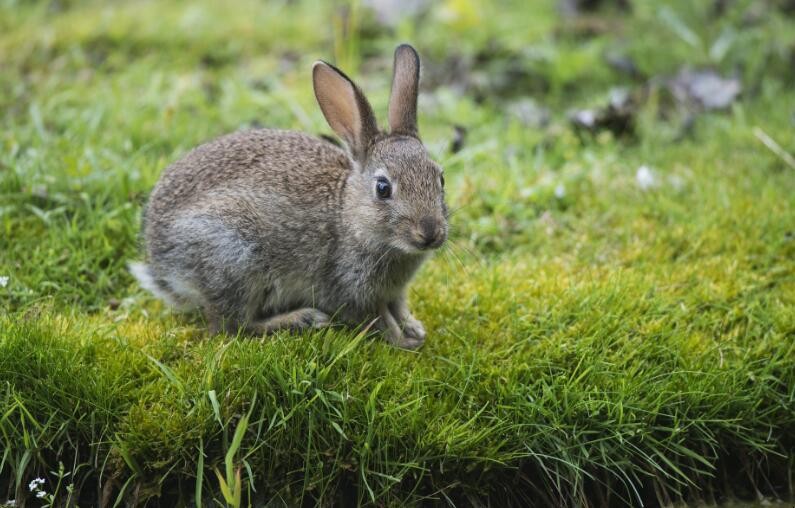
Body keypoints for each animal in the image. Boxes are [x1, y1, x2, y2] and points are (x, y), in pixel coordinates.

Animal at [131, 43, 448, 350]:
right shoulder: (350, 289)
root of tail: (160, 259)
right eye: (383, 188)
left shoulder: (394, 292)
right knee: (233, 327)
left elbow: (399, 308)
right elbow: (378, 319)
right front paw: (403, 341)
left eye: (440, 178)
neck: (349, 216)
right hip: (233, 259)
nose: (430, 232)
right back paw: (302, 318)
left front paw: (414, 328)